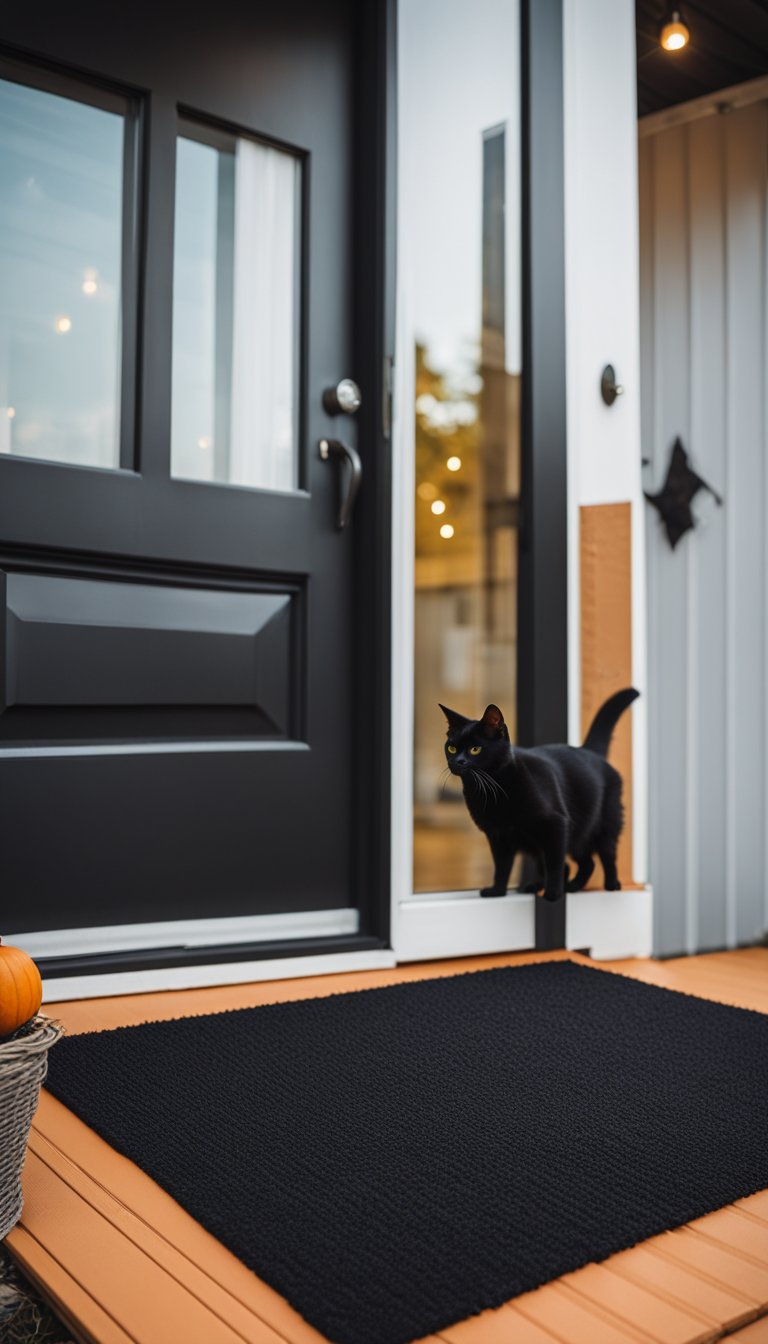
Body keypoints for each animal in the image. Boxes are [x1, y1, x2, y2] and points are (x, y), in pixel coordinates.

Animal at [441, 693, 640, 903]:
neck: (492, 790)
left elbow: (554, 864)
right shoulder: (497, 835)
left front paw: (553, 894)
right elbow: (502, 866)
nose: (458, 761)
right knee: (584, 864)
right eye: (452, 748)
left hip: (602, 826)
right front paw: (497, 891)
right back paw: (560, 886)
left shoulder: (556, 824)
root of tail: (589, 751)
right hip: (561, 839)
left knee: (605, 854)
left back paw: (611, 885)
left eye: (475, 749)